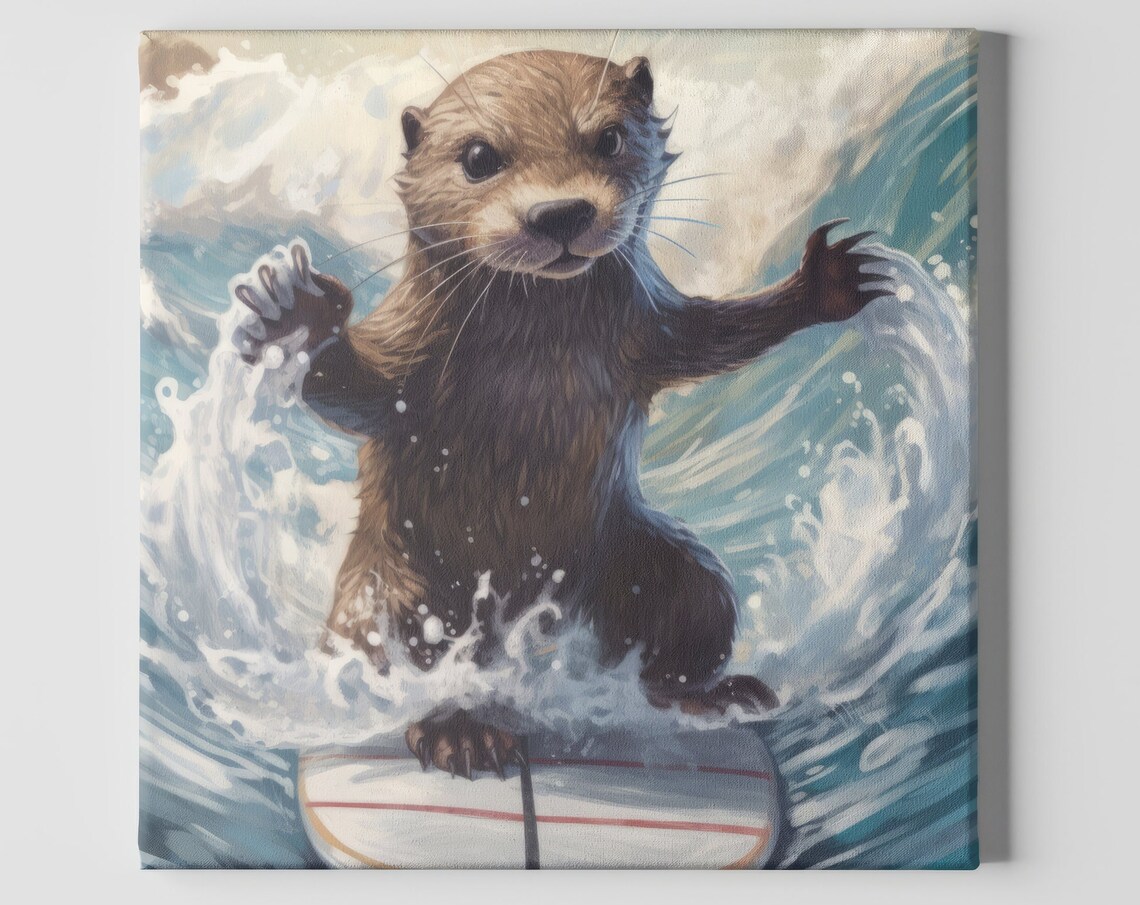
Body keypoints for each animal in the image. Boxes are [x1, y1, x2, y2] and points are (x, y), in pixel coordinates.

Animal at [231, 50, 888, 779]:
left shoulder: (647, 327)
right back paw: (463, 734)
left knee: (690, 616)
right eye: (478, 156)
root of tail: (536, 623)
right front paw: (295, 313)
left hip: (650, 561)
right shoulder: (412, 344)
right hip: (396, 586)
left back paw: (712, 695)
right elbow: (356, 391)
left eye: (609, 138)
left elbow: (713, 335)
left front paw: (826, 281)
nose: (560, 213)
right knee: (415, 659)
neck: (538, 345)